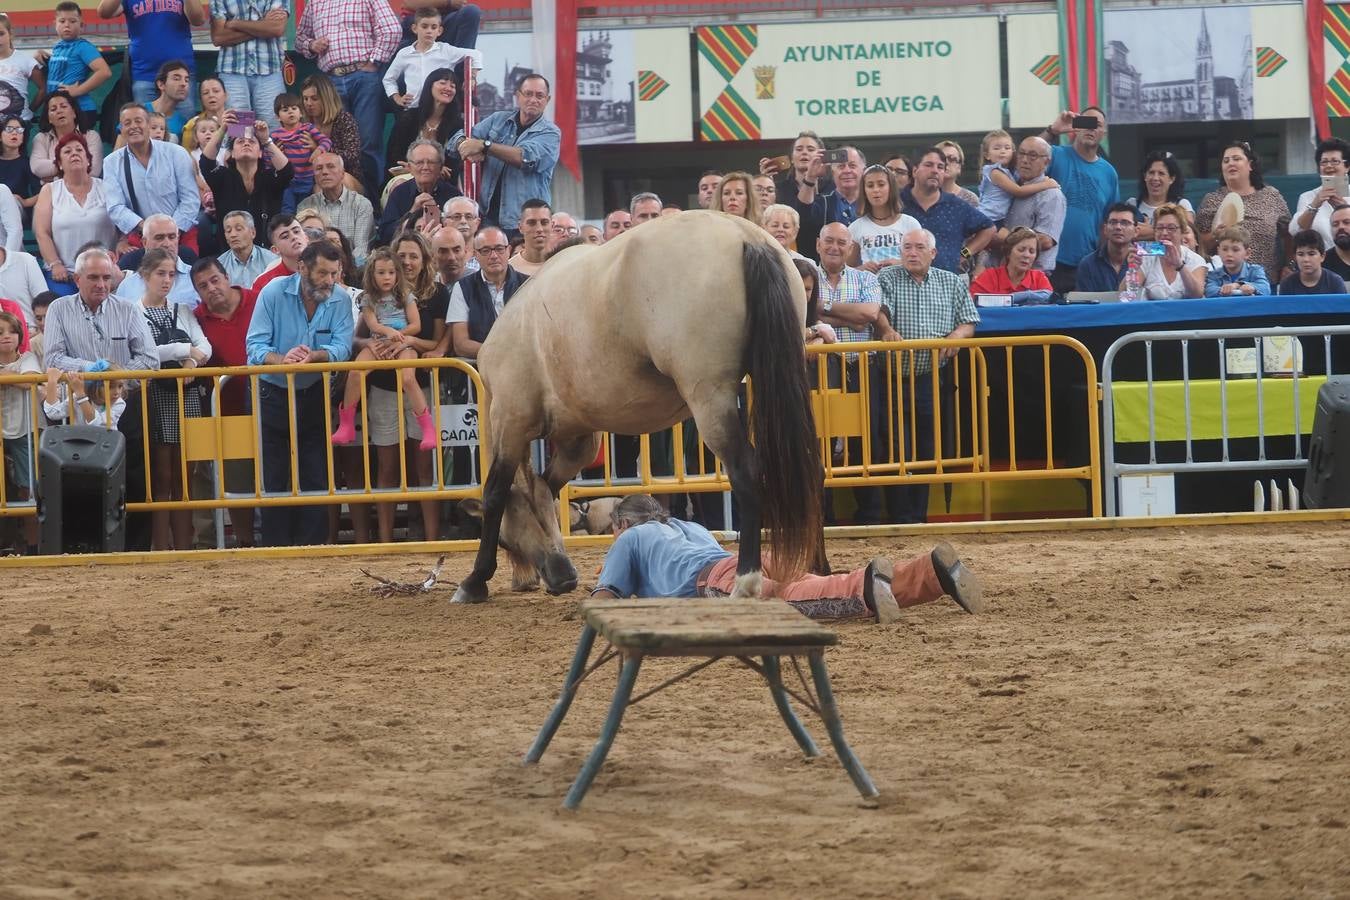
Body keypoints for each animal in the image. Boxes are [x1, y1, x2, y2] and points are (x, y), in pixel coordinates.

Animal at [450, 211, 820, 604]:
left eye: (506, 539)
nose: (562, 578)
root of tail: (746, 237)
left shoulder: (511, 422)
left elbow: (495, 494)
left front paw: (475, 579)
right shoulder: (579, 440)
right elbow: (546, 487)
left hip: (710, 398)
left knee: (746, 473)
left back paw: (746, 581)